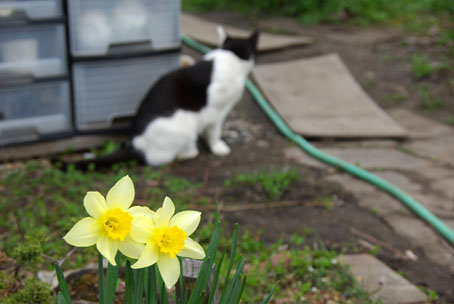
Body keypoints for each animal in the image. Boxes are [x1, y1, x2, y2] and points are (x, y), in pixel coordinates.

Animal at [74, 27, 258, 167]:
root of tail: (136, 144)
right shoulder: (216, 112)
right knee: (173, 156)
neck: (231, 55)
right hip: (185, 126)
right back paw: (188, 151)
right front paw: (218, 147)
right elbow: (214, 132)